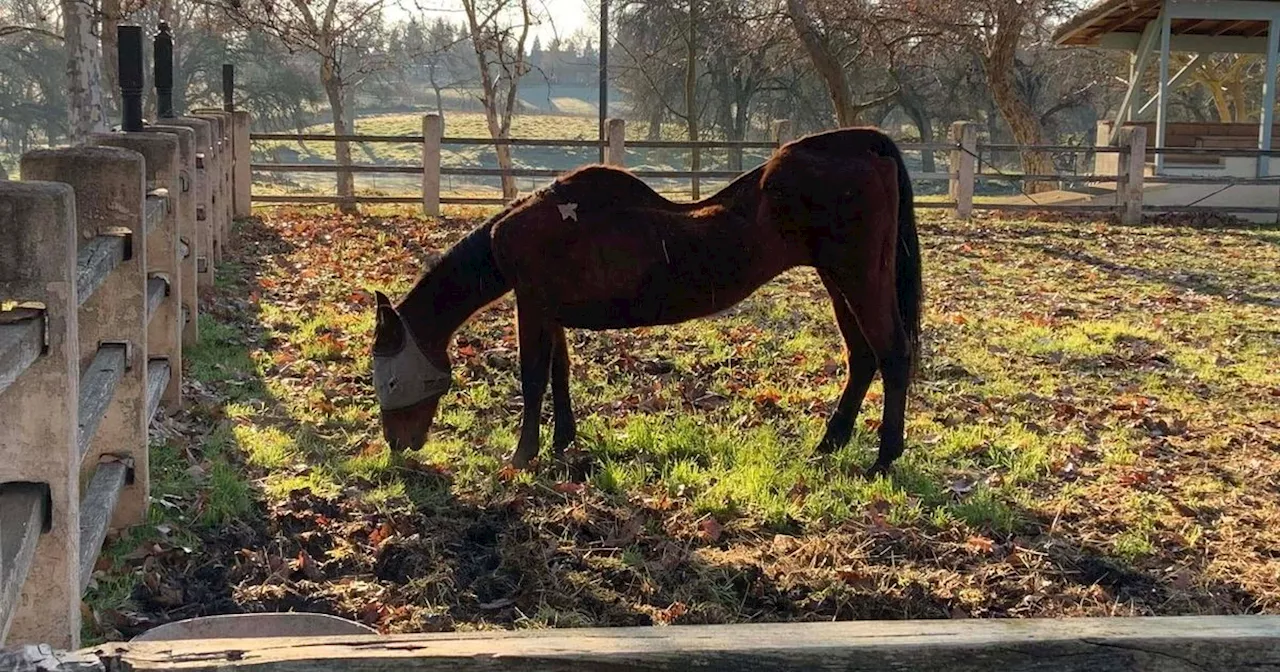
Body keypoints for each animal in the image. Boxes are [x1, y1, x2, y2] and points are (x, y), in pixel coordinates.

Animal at [371, 125, 921, 471]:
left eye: (391, 378)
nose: (398, 445)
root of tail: (864, 144)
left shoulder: (531, 306)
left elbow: (532, 378)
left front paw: (522, 456)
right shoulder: (549, 311)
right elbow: (559, 372)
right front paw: (562, 442)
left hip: (858, 277)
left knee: (893, 354)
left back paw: (884, 458)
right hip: (837, 280)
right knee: (862, 356)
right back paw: (830, 443)